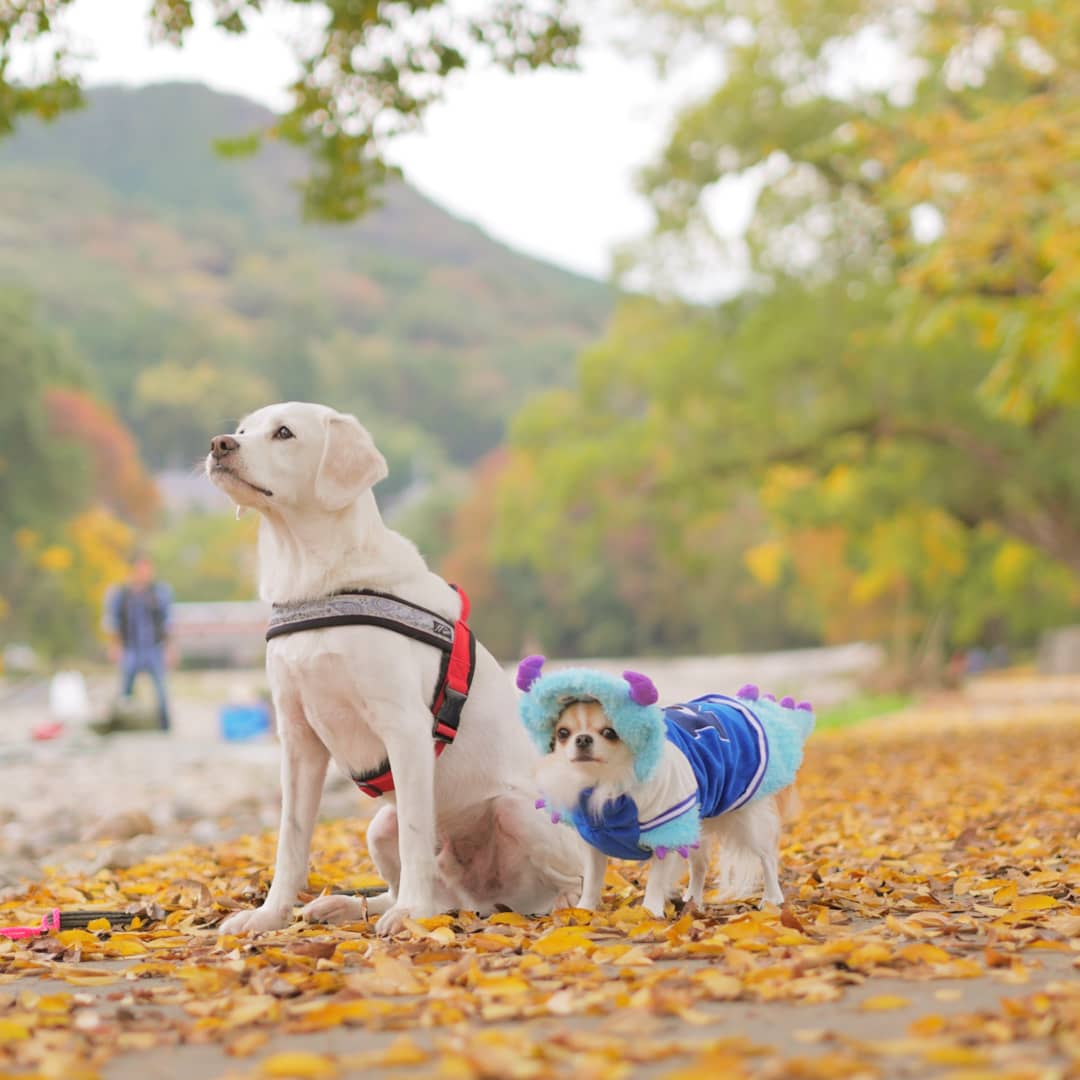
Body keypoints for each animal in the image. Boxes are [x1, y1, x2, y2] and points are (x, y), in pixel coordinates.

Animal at [206, 401, 587, 933]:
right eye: (242, 430)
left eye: (284, 433)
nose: (219, 444)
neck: (316, 581)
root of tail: (481, 899)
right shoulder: (298, 737)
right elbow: (291, 840)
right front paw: (269, 915)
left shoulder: (405, 729)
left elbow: (414, 835)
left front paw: (411, 913)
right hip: (377, 826)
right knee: (410, 884)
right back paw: (347, 906)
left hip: (517, 811)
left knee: (562, 883)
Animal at [514, 652, 812, 915]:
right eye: (563, 733)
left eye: (610, 733)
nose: (583, 739)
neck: (608, 782)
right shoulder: (595, 838)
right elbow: (593, 878)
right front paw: (585, 909)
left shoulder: (666, 830)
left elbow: (656, 880)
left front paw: (650, 911)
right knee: (700, 866)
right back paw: (693, 901)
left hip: (747, 820)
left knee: (767, 858)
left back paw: (772, 899)